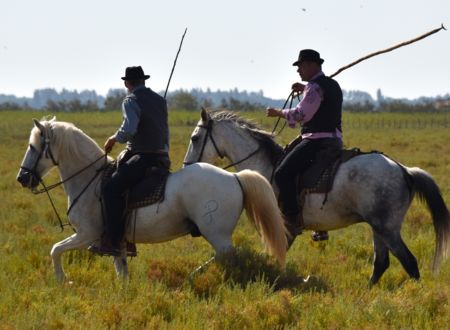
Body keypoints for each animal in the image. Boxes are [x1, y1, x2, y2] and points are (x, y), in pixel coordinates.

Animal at [17, 117, 288, 282]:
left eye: (32, 147)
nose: (22, 178)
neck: (89, 180)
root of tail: (234, 176)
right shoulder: (116, 241)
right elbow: (121, 271)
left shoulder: (88, 234)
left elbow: (55, 250)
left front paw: (63, 280)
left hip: (217, 234)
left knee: (226, 255)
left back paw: (196, 275)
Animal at [184, 109, 450, 284]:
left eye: (195, 138)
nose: (187, 166)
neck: (265, 168)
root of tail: (404, 170)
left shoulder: (284, 226)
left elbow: (276, 256)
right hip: (379, 227)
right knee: (381, 263)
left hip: (387, 228)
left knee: (409, 262)